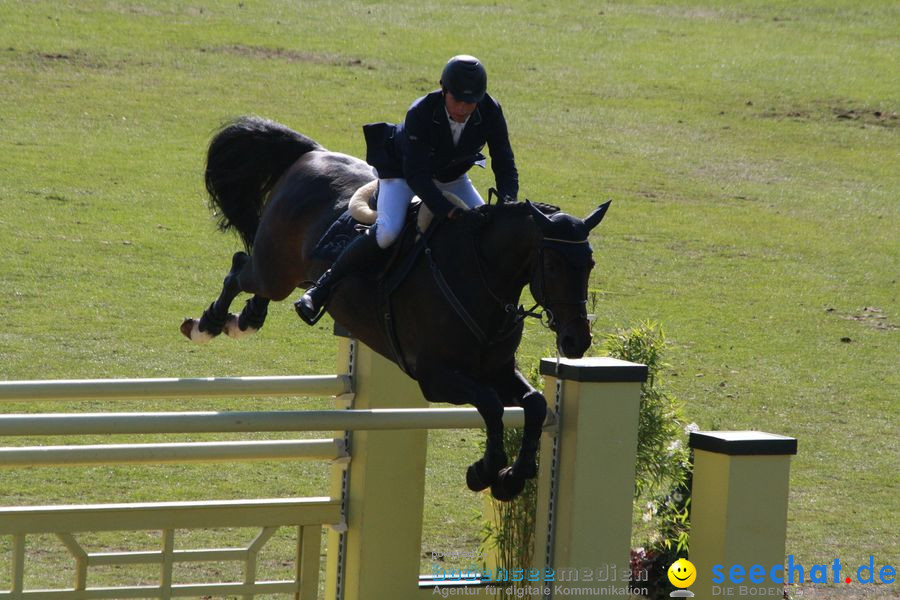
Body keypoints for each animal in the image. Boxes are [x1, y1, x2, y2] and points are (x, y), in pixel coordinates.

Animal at [179, 117, 608, 502]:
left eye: (589, 263)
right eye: (552, 266)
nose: (576, 340)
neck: (479, 276)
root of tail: (312, 153)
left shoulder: (498, 369)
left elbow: (534, 404)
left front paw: (512, 479)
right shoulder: (435, 376)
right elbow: (489, 404)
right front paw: (485, 471)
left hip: (286, 274)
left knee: (254, 279)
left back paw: (247, 318)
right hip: (275, 270)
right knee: (240, 268)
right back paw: (208, 324)